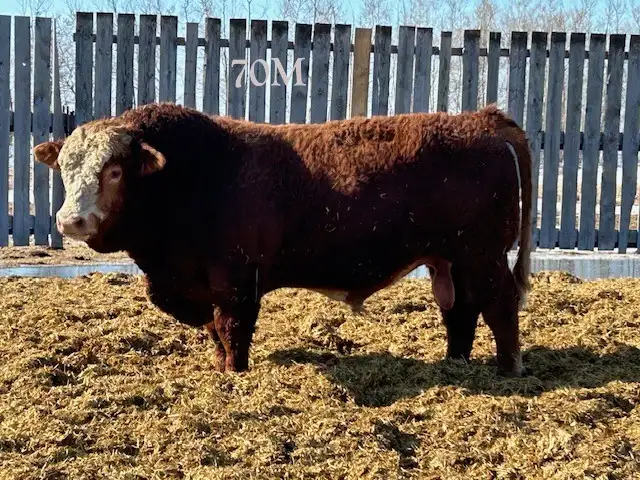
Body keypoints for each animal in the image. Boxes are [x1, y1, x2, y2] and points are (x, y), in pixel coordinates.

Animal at [33, 102, 532, 376]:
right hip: (450, 259)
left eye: (115, 171)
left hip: (483, 255)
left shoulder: (237, 281)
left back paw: (509, 367)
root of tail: (482, 120)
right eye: (65, 169)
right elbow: (215, 333)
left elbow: (232, 330)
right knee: (460, 310)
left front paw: (234, 375)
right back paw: (455, 361)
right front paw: (220, 368)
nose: (71, 221)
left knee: (500, 304)